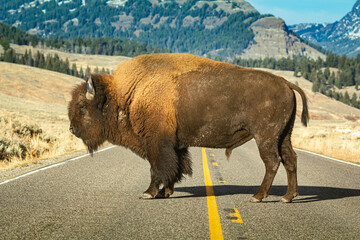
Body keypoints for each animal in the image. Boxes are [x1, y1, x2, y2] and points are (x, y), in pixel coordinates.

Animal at [68, 54, 310, 202]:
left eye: (82, 106)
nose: (72, 129)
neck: (128, 94)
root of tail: (285, 83)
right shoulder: (175, 145)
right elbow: (175, 167)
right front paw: (166, 192)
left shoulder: (157, 143)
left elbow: (158, 168)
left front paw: (149, 193)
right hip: (284, 136)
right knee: (290, 160)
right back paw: (288, 197)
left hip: (265, 137)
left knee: (272, 162)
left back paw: (258, 196)